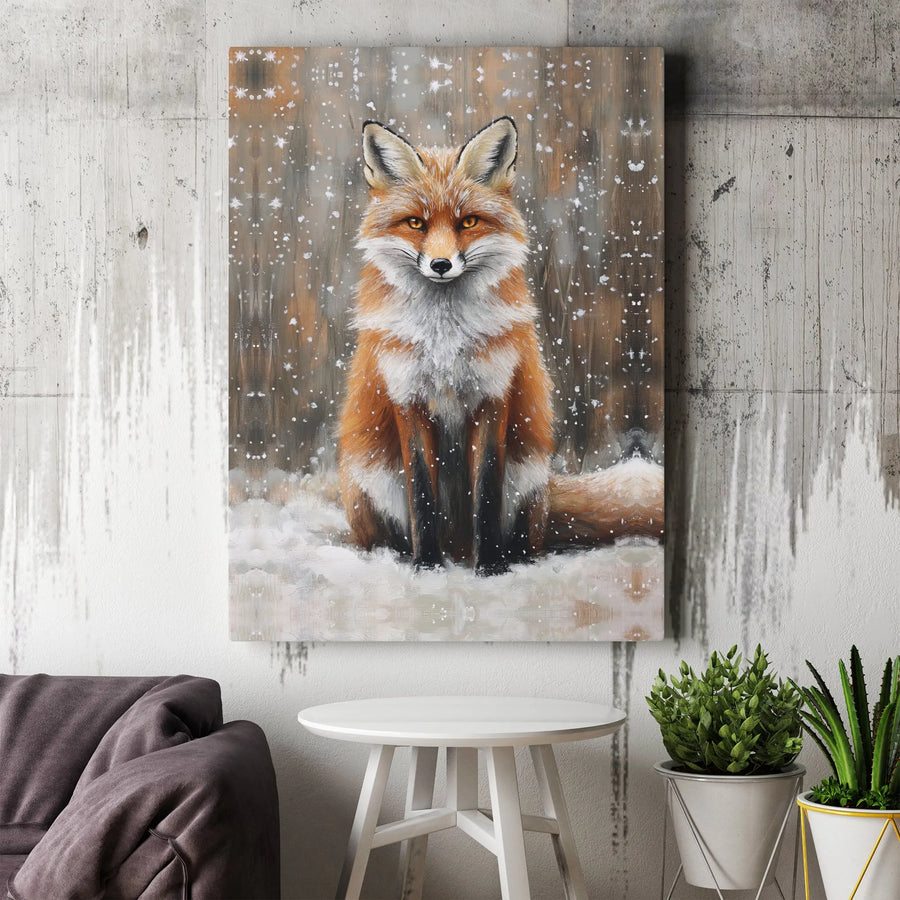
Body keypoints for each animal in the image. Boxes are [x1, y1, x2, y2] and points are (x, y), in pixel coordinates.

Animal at [338, 116, 663, 574]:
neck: (445, 339)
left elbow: (486, 494)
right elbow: (422, 495)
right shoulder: (408, 398)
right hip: (372, 479)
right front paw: (426, 565)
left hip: (527, 476)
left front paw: (490, 565)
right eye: (416, 223)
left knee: (528, 536)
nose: (441, 265)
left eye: (468, 222)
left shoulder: (494, 395)